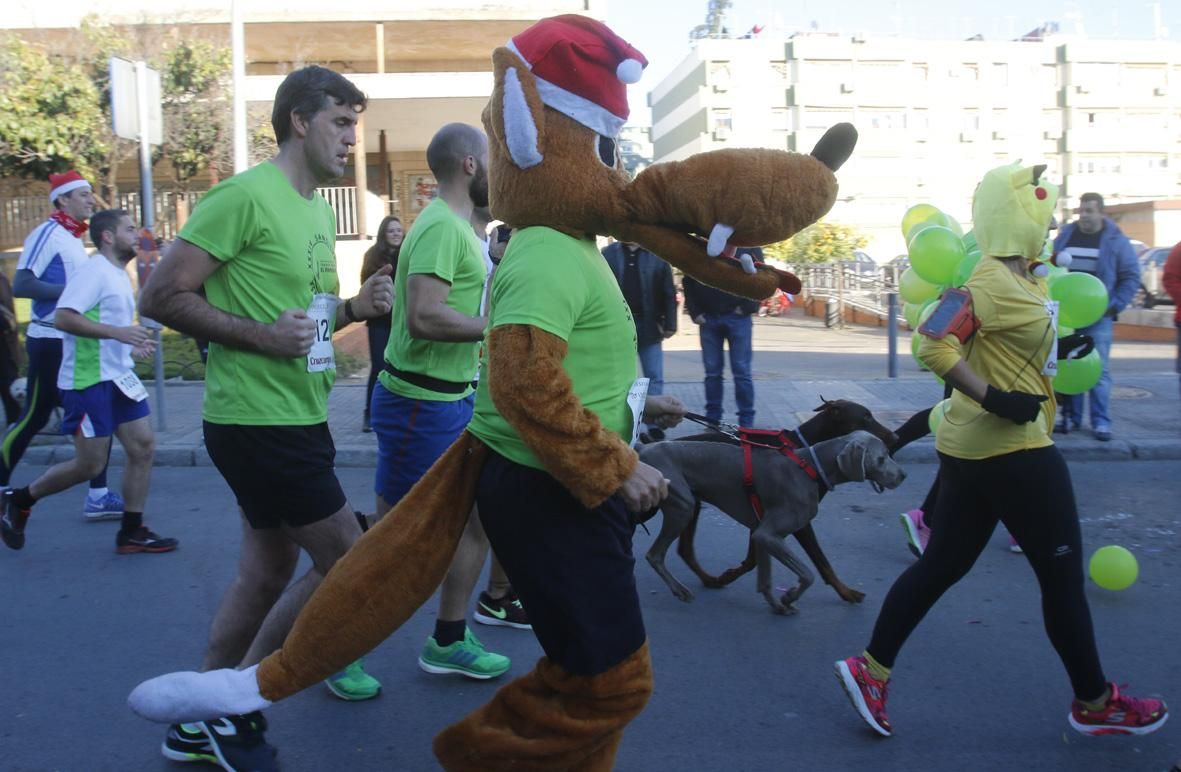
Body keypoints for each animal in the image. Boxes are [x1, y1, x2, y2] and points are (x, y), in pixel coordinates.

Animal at [642, 429, 907, 618]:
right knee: (654, 555)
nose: (903, 475)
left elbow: (765, 580)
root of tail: (644, 447)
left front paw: (778, 606)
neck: (810, 468)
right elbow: (808, 573)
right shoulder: (768, 535)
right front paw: (789, 596)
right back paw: (679, 590)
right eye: (881, 458)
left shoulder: (761, 535)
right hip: (683, 505)